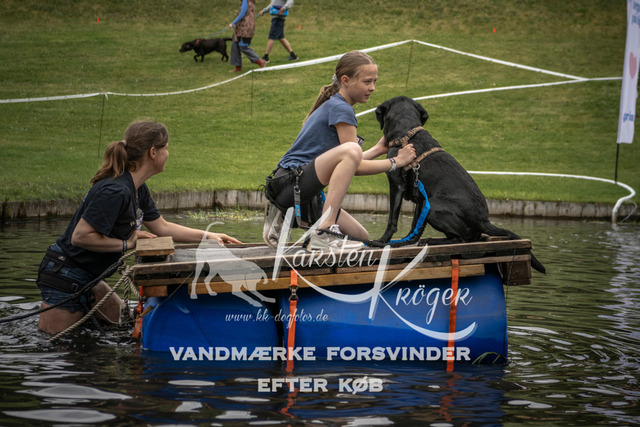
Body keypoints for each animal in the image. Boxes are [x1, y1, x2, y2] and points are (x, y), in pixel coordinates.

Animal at [375, 96, 546, 274]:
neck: (406, 134)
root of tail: (483, 220)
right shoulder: (420, 199)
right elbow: (415, 227)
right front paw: (404, 242)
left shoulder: (397, 185)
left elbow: (392, 220)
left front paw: (382, 241)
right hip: (429, 205)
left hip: (434, 207)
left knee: (461, 238)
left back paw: (433, 240)